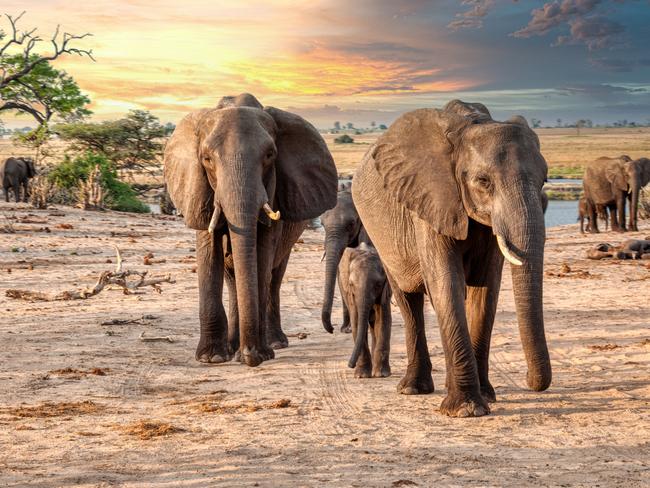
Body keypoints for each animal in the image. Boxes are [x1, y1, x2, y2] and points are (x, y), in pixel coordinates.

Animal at [162, 92, 336, 366]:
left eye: (270, 155)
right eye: (206, 159)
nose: (251, 357)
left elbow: (262, 254)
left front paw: (261, 354)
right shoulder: (200, 191)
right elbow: (209, 250)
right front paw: (212, 358)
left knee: (274, 274)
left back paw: (273, 343)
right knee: (233, 276)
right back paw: (233, 347)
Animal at [336, 243, 392, 378]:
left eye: (378, 285)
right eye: (351, 285)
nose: (350, 365)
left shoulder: (385, 290)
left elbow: (383, 320)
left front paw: (382, 374)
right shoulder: (351, 295)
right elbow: (356, 321)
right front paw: (361, 376)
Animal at [352, 100, 548, 420]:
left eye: (545, 179)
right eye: (483, 181)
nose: (531, 380)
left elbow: (485, 291)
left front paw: (486, 397)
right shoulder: (429, 198)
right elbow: (446, 283)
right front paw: (467, 410)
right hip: (381, 238)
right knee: (408, 300)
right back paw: (413, 388)